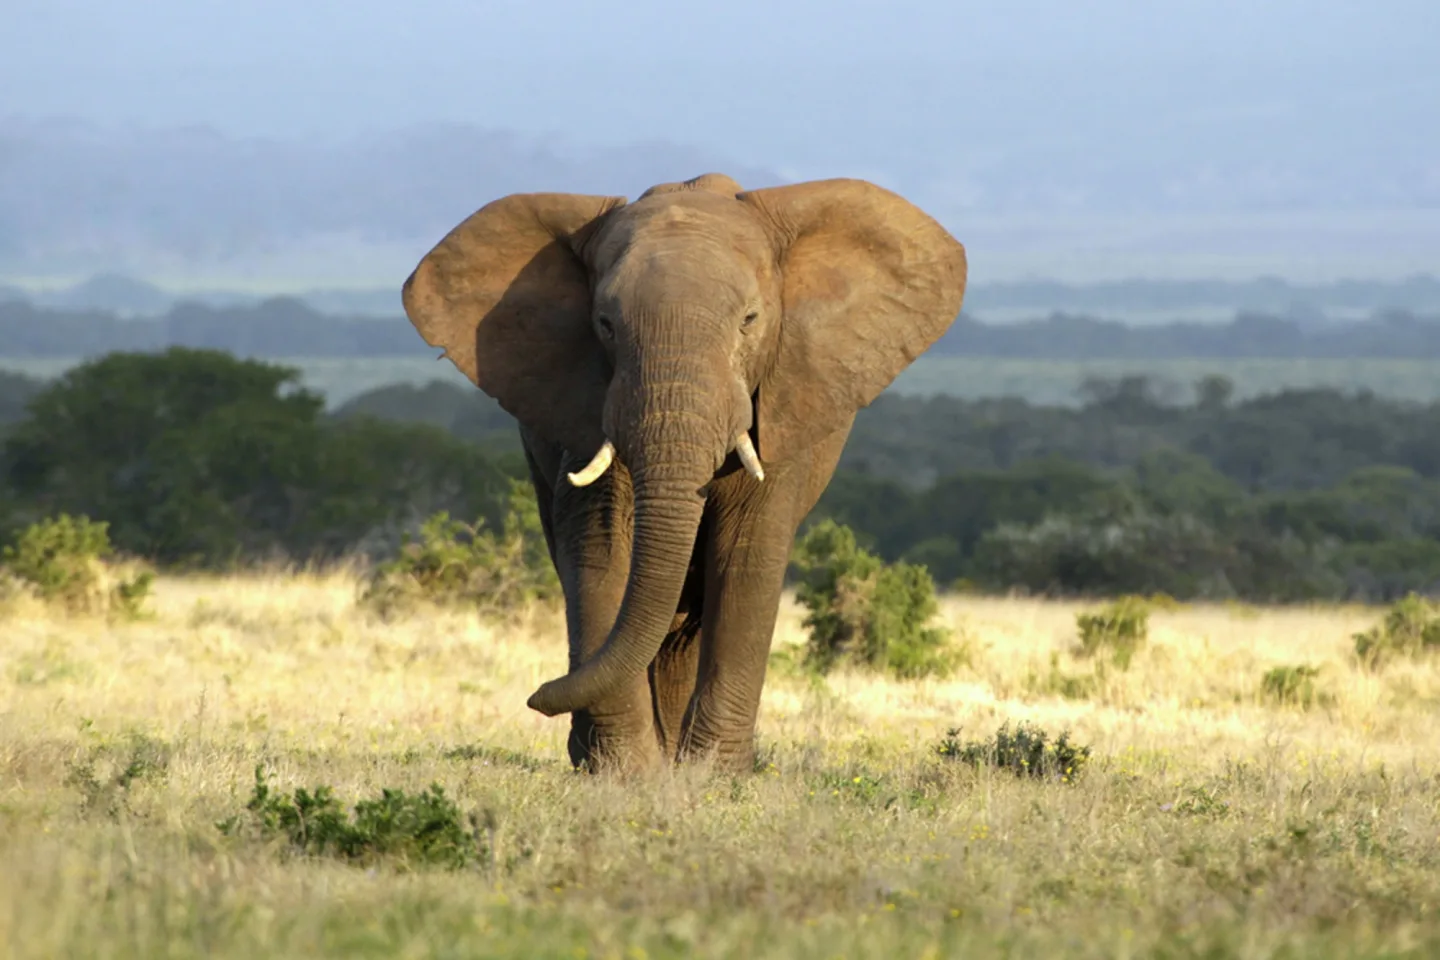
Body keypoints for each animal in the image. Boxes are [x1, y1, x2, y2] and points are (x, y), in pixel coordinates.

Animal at [401, 172, 967, 774]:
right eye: (604, 324)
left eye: (749, 321)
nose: (537, 695)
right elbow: (600, 548)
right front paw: (626, 773)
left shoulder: (783, 400)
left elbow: (746, 555)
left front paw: (711, 776)